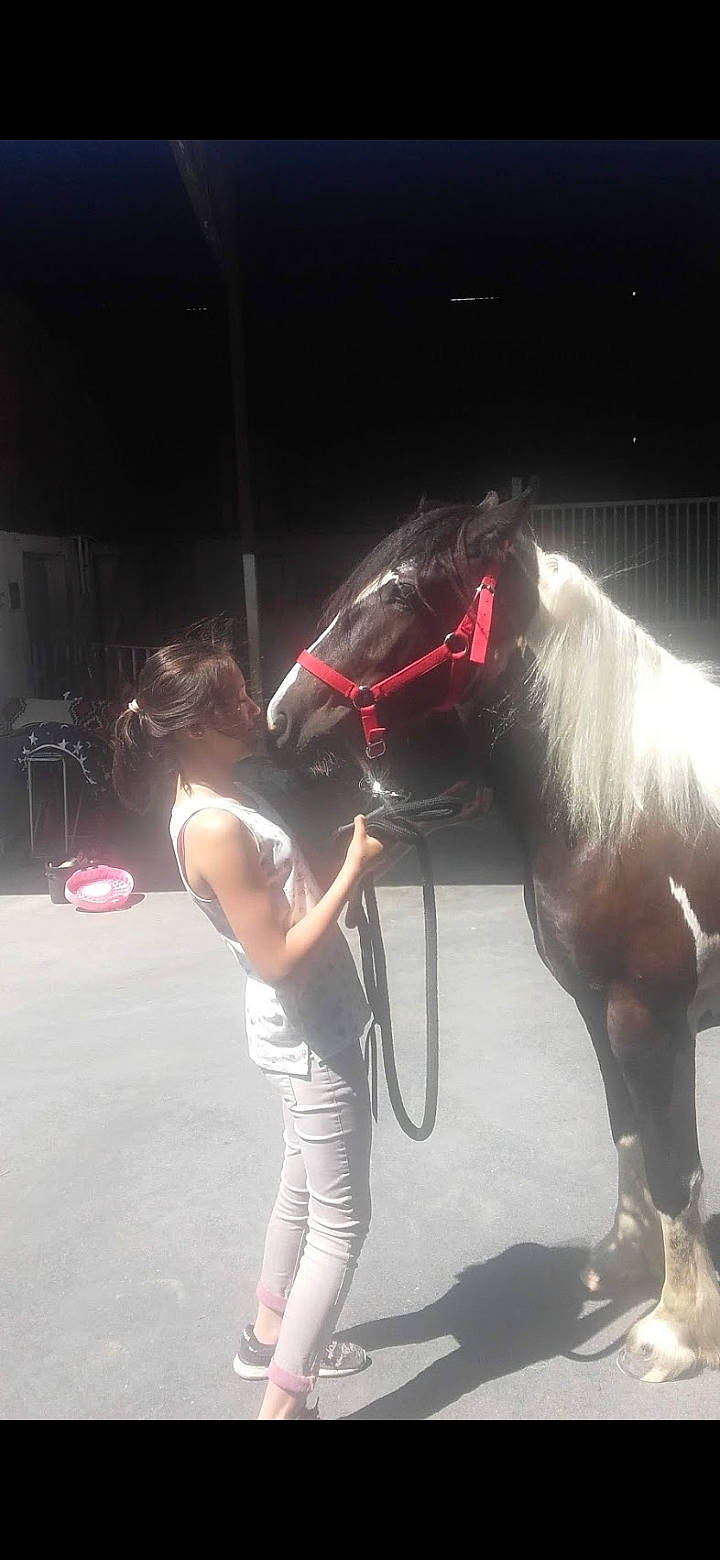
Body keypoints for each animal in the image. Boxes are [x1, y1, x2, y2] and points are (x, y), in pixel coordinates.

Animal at [265, 488, 720, 1383]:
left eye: (402, 593)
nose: (279, 718)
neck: (638, 811)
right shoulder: (596, 1010)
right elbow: (629, 1132)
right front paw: (625, 1262)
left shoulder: (650, 1020)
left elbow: (676, 1165)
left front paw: (676, 1333)